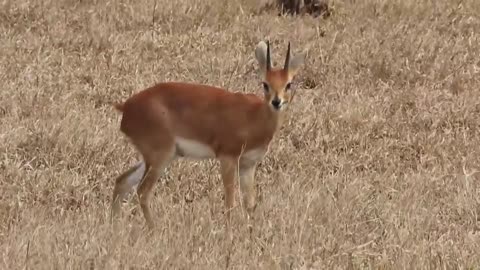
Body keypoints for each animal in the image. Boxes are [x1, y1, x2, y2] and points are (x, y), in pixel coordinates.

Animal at [110, 39, 306, 234]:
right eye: (265, 84)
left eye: (289, 84)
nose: (276, 101)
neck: (254, 116)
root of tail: (126, 107)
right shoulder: (227, 158)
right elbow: (230, 201)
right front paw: (229, 234)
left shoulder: (248, 165)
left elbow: (250, 204)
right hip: (161, 157)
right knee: (142, 191)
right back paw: (155, 230)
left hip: (156, 158)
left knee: (122, 181)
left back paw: (116, 228)